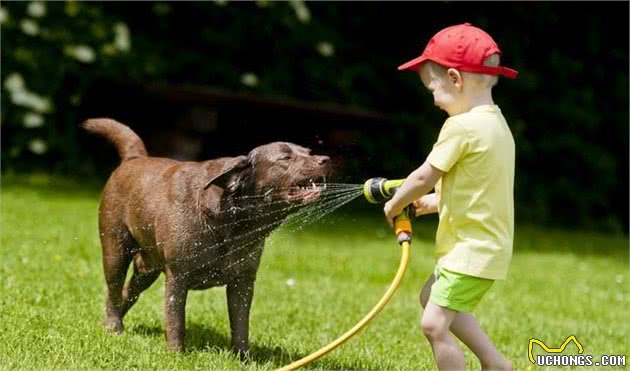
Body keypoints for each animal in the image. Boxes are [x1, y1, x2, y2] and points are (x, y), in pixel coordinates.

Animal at [84, 118, 330, 354]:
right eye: (285, 157)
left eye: (309, 152)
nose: (325, 159)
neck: (233, 221)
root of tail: (134, 158)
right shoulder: (178, 277)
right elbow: (176, 320)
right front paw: (175, 355)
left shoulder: (243, 282)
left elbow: (241, 326)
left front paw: (243, 358)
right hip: (115, 250)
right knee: (113, 289)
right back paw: (113, 327)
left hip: (147, 268)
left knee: (128, 291)